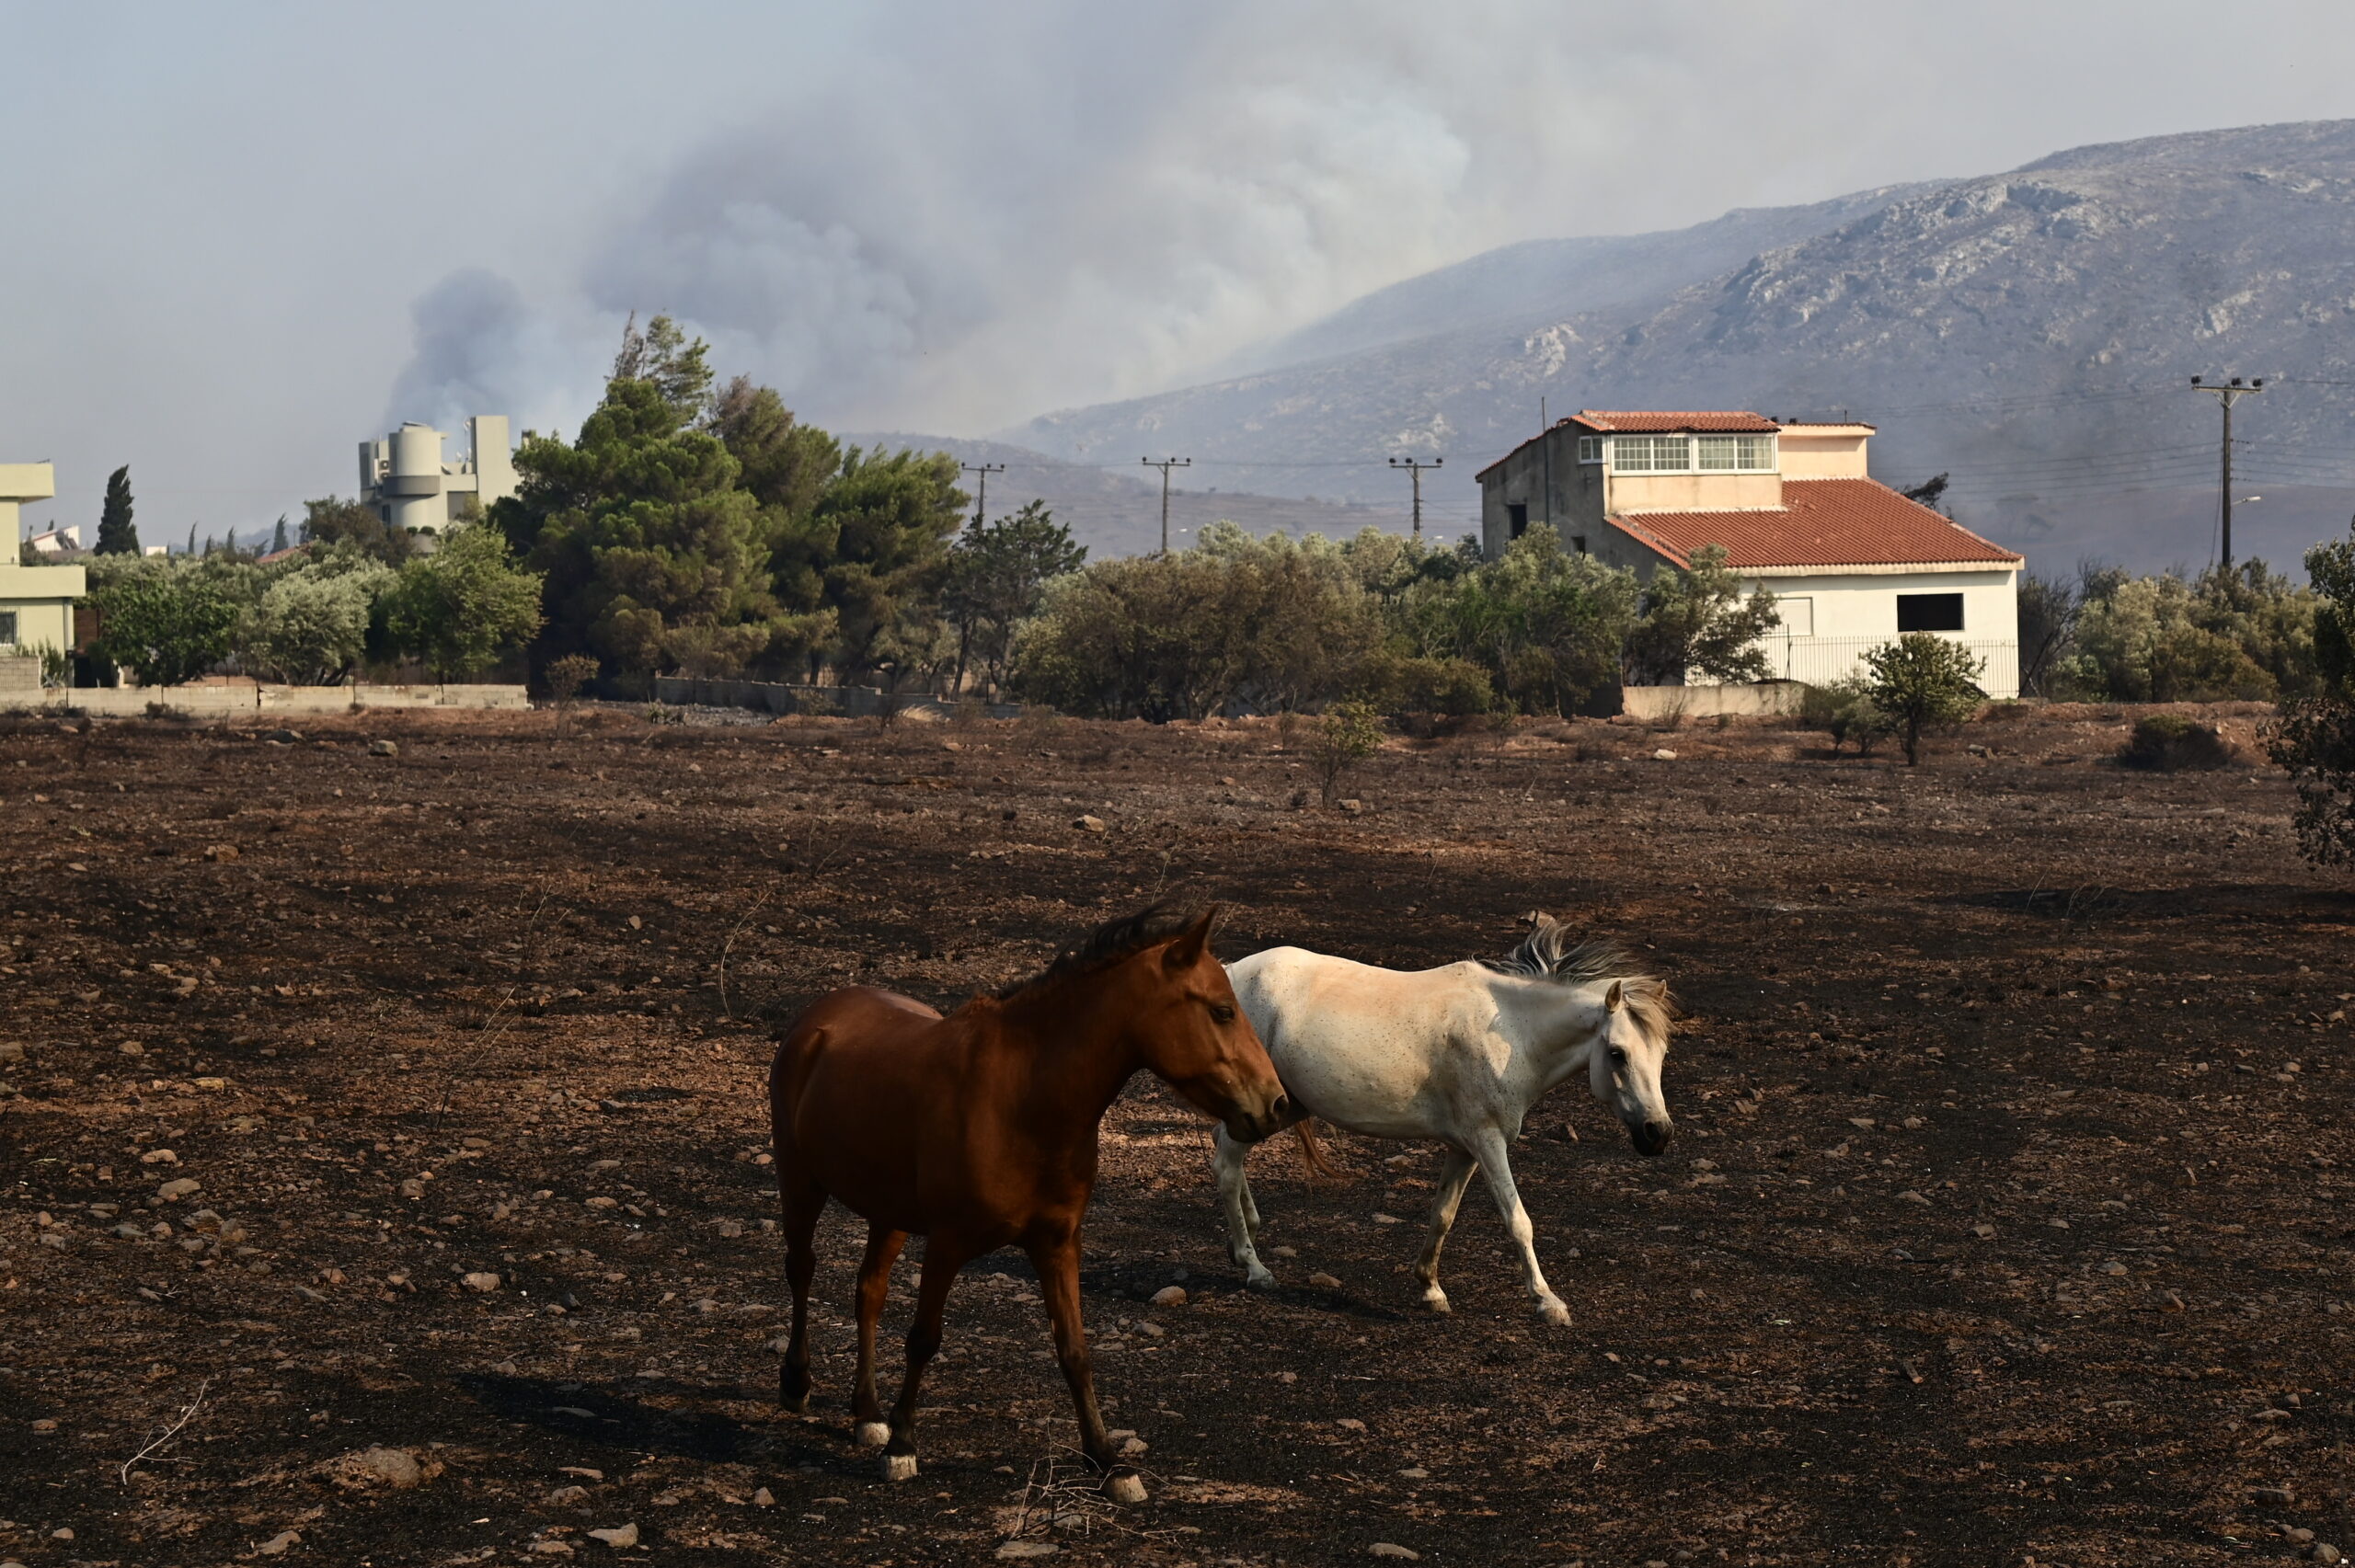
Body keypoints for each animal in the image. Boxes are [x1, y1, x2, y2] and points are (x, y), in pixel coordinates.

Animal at [767, 904, 1290, 1487]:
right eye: (1222, 1011)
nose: (1276, 1104)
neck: (1021, 1100)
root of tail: (818, 1017)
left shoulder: (1057, 1243)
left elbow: (1075, 1350)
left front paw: (1107, 1461)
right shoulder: (947, 1243)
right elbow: (924, 1338)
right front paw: (903, 1446)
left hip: (890, 1214)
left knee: (869, 1292)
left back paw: (867, 1414)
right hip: (801, 1184)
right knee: (802, 1268)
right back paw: (798, 1382)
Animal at [1214, 918, 1676, 1318]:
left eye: (1661, 1053)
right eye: (1617, 1053)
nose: (1658, 1134)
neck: (1512, 1033)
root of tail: (1231, 974)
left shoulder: (1464, 1149)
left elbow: (1443, 1215)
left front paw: (1430, 1289)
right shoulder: (1488, 1142)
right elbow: (1518, 1220)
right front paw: (1548, 1302)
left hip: (1277, 1108)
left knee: (1229, 1160)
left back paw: (1244, 1243)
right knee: (1226, 1167)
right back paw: (1255, 1268)